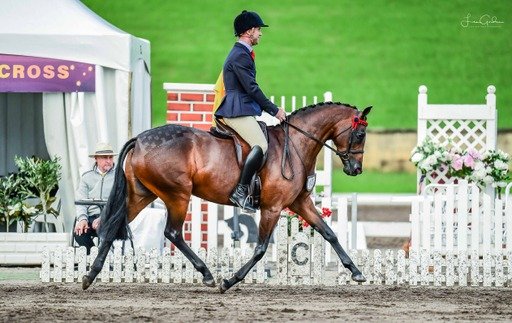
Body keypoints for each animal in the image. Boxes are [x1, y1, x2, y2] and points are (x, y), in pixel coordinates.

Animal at [82, 102, 370, 294]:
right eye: (360, 134)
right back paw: (208, 274)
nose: (356, 169)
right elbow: (260, 249)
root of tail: (140, 140)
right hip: (177, 194)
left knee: (111, 228)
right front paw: (229, 281)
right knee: (172, 232)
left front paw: (356, 272)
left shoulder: (300, 203)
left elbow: (329, 233)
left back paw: (90, 276)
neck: (296, 144)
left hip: (142, 194)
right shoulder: (273, 207)